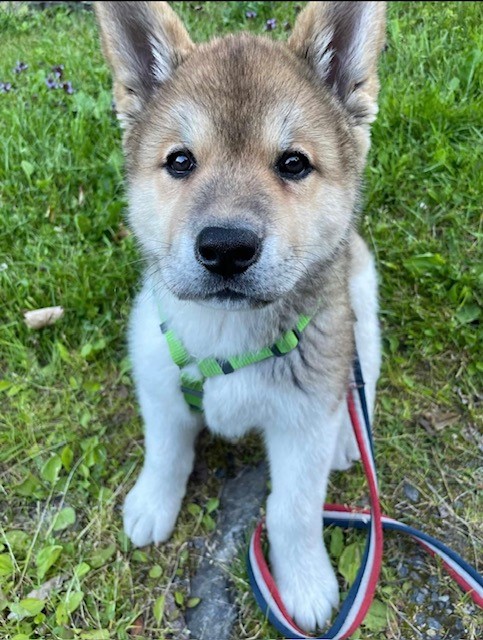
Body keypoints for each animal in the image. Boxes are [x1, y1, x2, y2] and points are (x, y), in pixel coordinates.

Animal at [95, 1, 386, 631]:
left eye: (294, 163)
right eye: (180, 161)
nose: (226, 247)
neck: (225, 336)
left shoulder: (304, 423)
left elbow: (293, 510)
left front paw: (304, 580)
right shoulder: (159, 384)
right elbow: (166, 450)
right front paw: (154, 501)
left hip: (363, 306)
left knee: (364, 377)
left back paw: (350, 442)